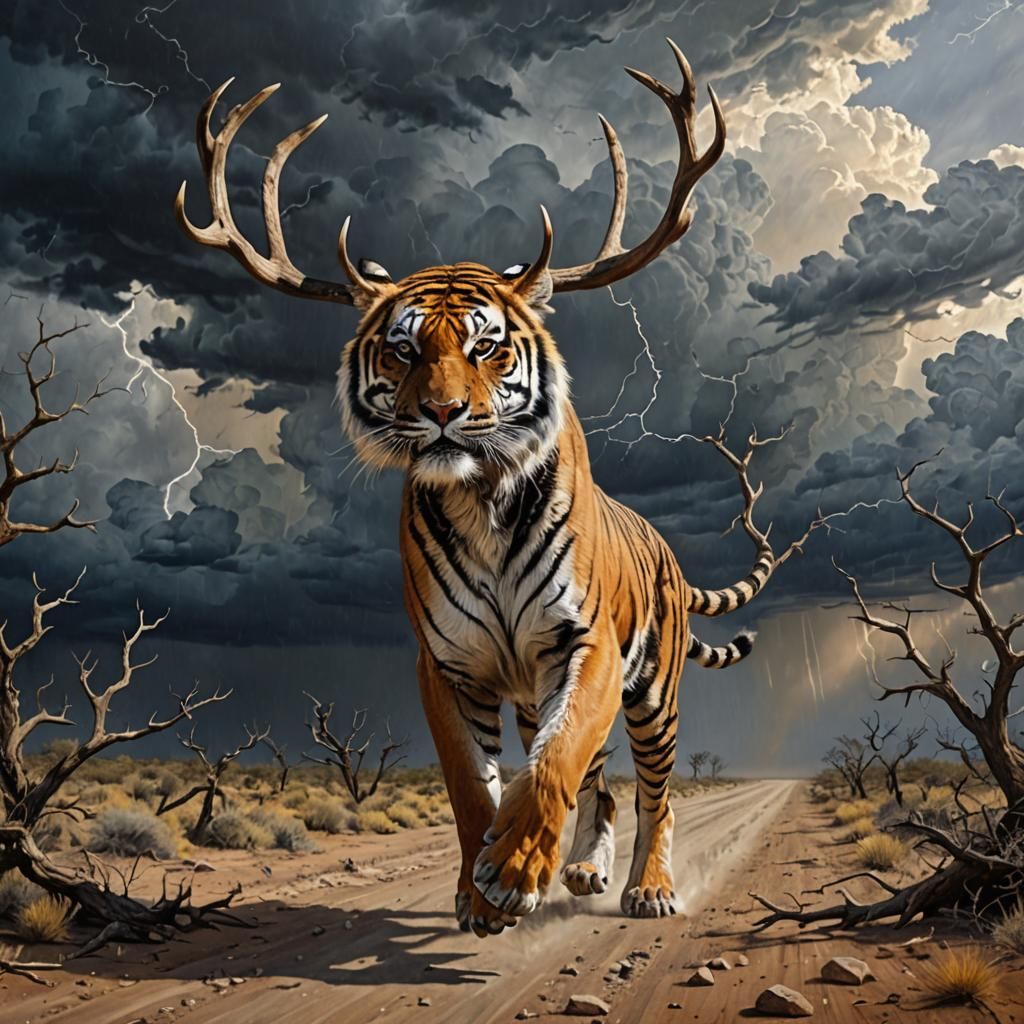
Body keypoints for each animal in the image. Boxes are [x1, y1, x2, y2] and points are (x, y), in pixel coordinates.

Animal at [175, 41, 775, 935]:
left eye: (487, 346)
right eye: (402, 349)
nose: (443, 413)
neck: (481, 499)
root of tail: (666, 545)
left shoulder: (585, 647)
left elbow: (555, 764)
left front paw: (515, 872)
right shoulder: (450, 665)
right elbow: (472, 783)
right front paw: (478, 890)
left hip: (654, 696)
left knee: (654, 791)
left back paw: (647, 888)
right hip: (536, 692)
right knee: (603, 783)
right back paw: (587, 871)